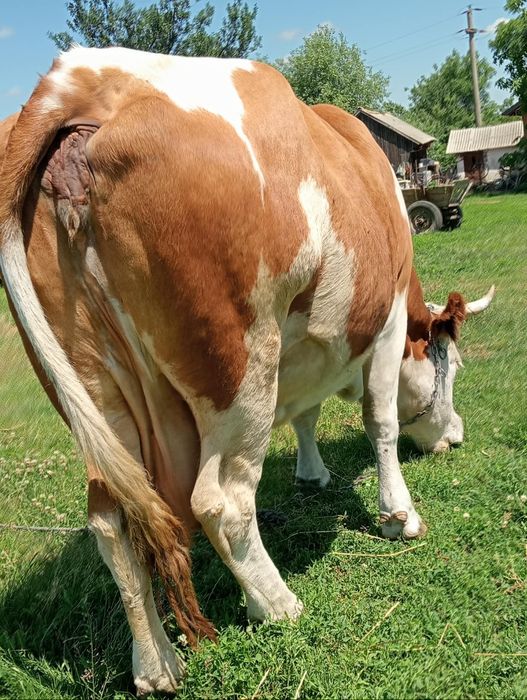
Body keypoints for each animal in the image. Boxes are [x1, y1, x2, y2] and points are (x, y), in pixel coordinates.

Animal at [0, 47, 493, 694]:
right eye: (451, 366)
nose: (456, 436)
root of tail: (75, 79)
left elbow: (306, 414)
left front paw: (312, 473)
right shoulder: (383, 324)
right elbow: (380, 421)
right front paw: (399, 515)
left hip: (95, 388)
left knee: (112, 522)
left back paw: (156, 664)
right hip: (240, 364)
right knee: (222, 501)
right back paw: (277, 604)